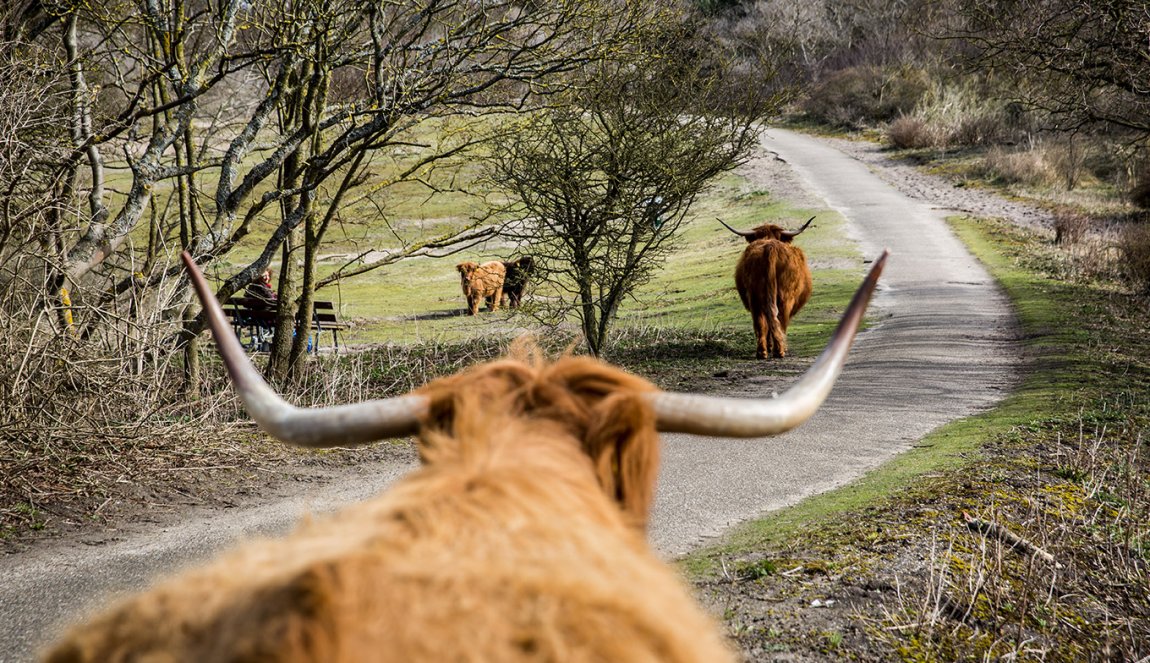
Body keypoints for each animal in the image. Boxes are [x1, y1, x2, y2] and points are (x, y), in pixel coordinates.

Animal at [722, 216, 814, 358]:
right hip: (785, 298)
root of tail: (770, 247)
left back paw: (762, 352)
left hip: (754, 297)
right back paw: (779, 350)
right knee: (780, 321)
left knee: (761, 322)